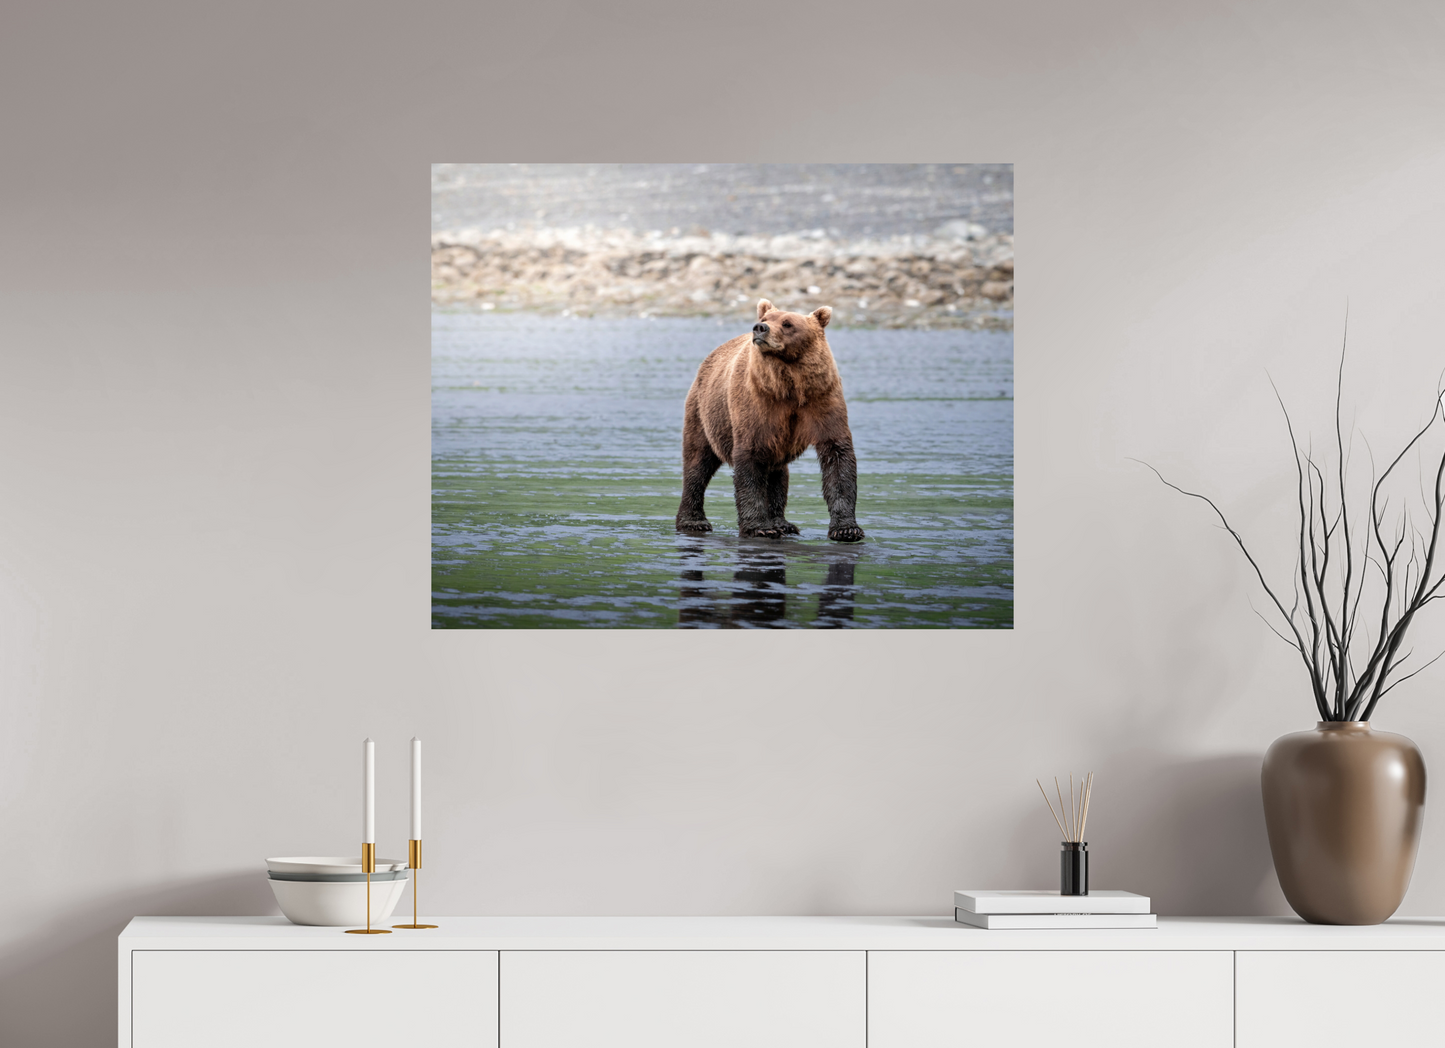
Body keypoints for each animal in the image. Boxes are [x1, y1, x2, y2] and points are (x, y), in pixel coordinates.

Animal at [674, 299, 864, 541]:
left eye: (788, 323)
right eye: (765, 319)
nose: (760, 328)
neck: (789, 384)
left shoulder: (821, 398)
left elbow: (837, 454)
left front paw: (847, 529)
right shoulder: (758, 403)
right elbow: (750, 457)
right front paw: (759, 527)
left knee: (777, 472)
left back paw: (782, 523)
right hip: (705, 412)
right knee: (698, 462)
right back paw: (693, 521)